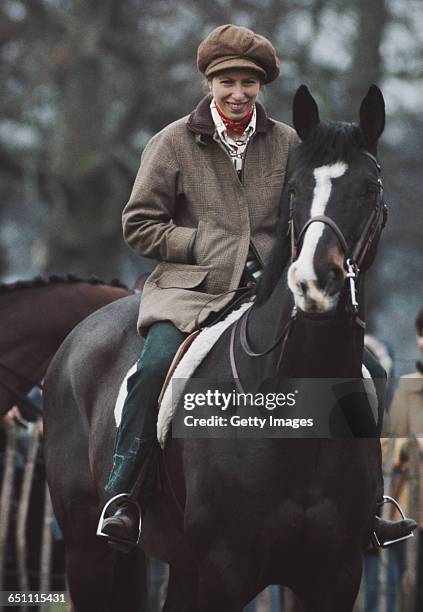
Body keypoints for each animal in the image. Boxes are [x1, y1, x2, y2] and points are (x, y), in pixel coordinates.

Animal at [43, 86, 388, 612]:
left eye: (369, 189)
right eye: (294, 189)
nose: (313, 282)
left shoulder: (335, 575)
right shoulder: (224, 570)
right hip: (87, 550)